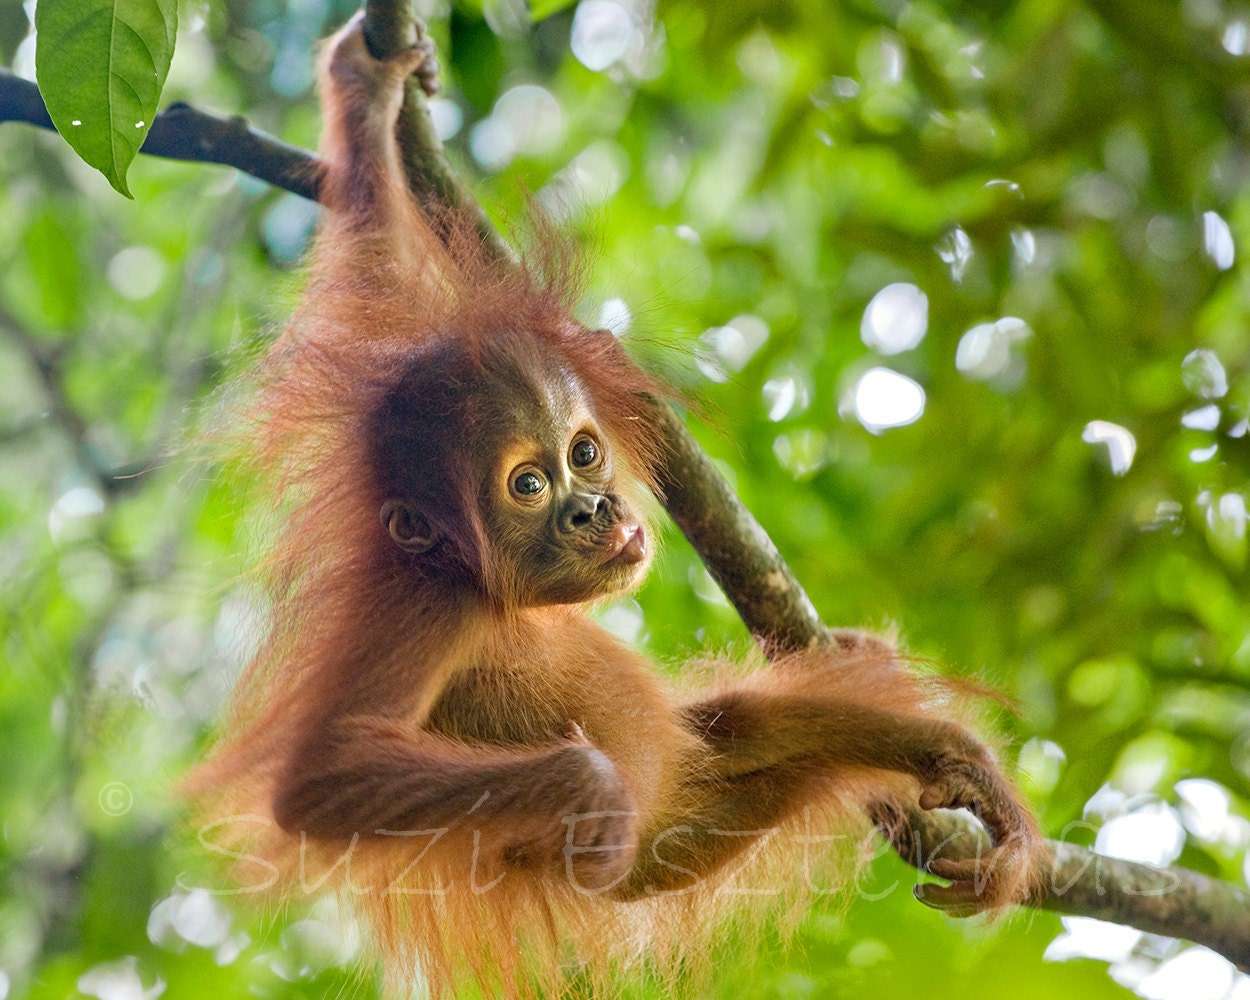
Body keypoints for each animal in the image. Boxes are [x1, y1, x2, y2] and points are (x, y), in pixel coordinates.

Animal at [186, 14, 1045, 999]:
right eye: (530, 483)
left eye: (583, 452)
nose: (595, 510)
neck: (494, 592)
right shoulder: (425, 606)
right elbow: (322, 781)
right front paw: (586, 788)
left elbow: (377, 247)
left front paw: (365, 90)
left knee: (742, 727)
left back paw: (941, 755)